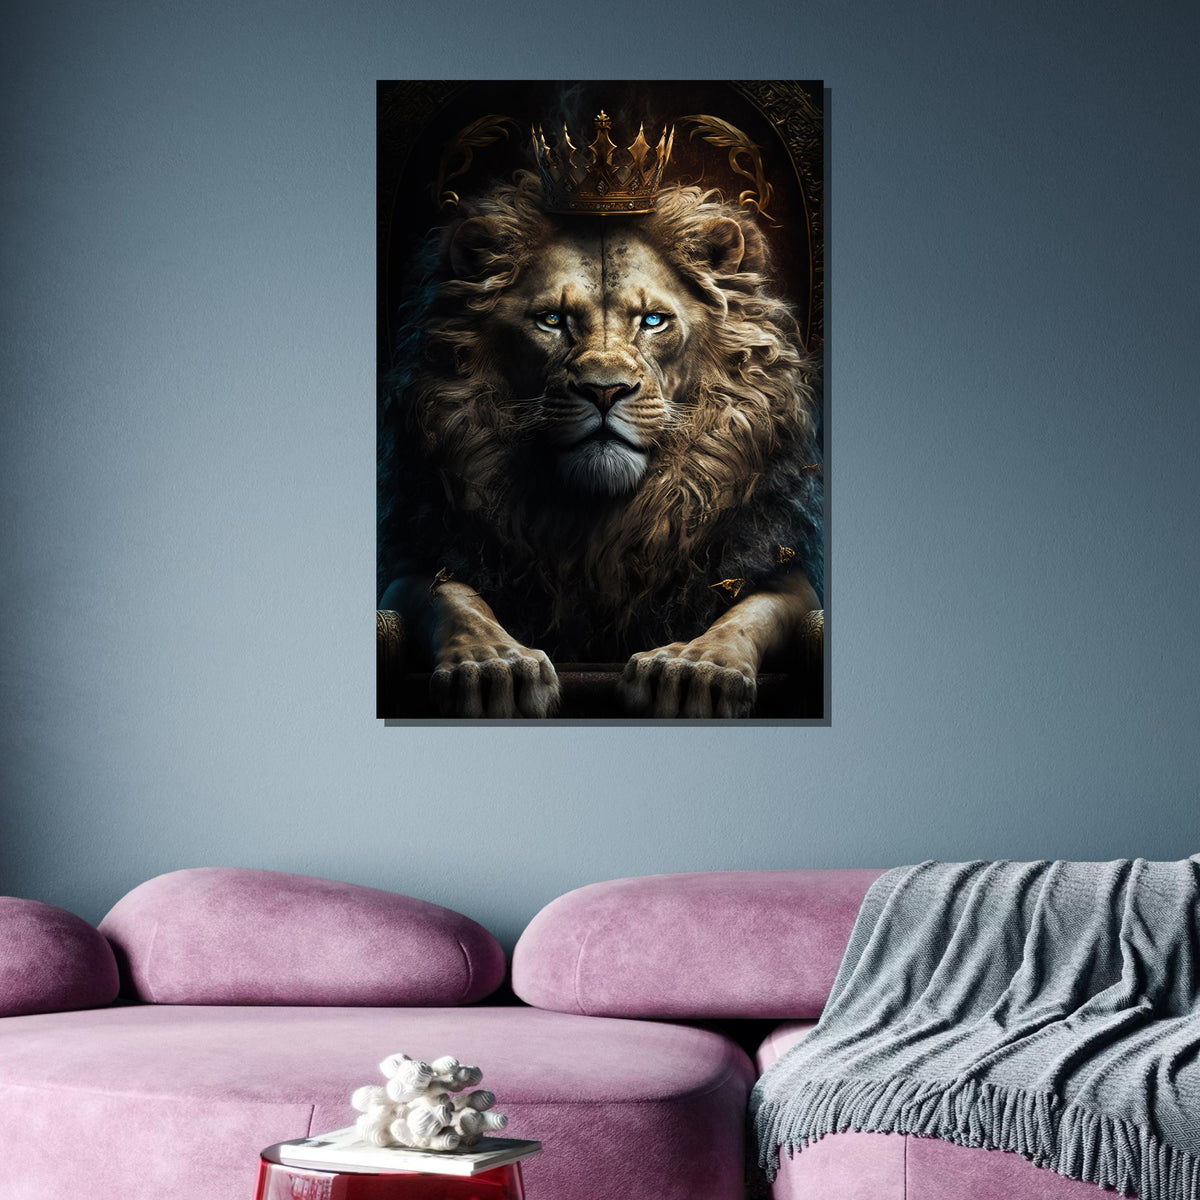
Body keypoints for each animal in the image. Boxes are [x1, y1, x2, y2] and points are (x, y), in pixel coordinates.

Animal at [378, 170, 823, 718]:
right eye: (552, 320)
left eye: (652, 321)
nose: (605, 390)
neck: (601, 530)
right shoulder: (410, 566)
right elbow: (457, 599)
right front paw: (493, 666)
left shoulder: (786, 573)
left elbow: (748, 613)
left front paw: (694, 670)